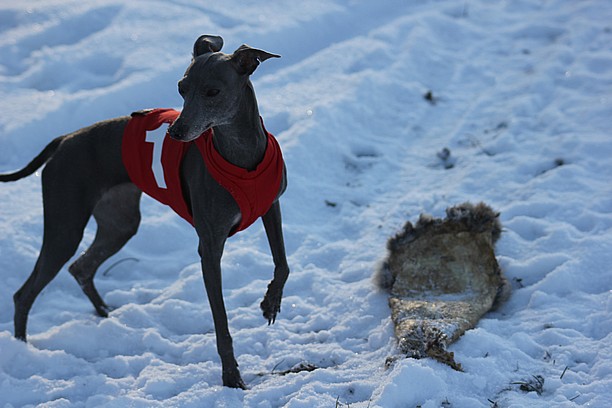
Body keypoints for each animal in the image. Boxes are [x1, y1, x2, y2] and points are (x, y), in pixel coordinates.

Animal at [0, 35, 290, 388]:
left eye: (212, 92)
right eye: (181, 88)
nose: (174, 133)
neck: (240, 154)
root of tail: (65, 139)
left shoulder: (271, 207)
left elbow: (282, 263)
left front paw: (270, 303)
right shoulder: (209, 248)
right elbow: (221, 323)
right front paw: (231, 377)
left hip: (120, 223)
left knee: (81, 268)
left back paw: (107, 316)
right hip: (65, 226)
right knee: (25, 293)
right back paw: (22, 351)